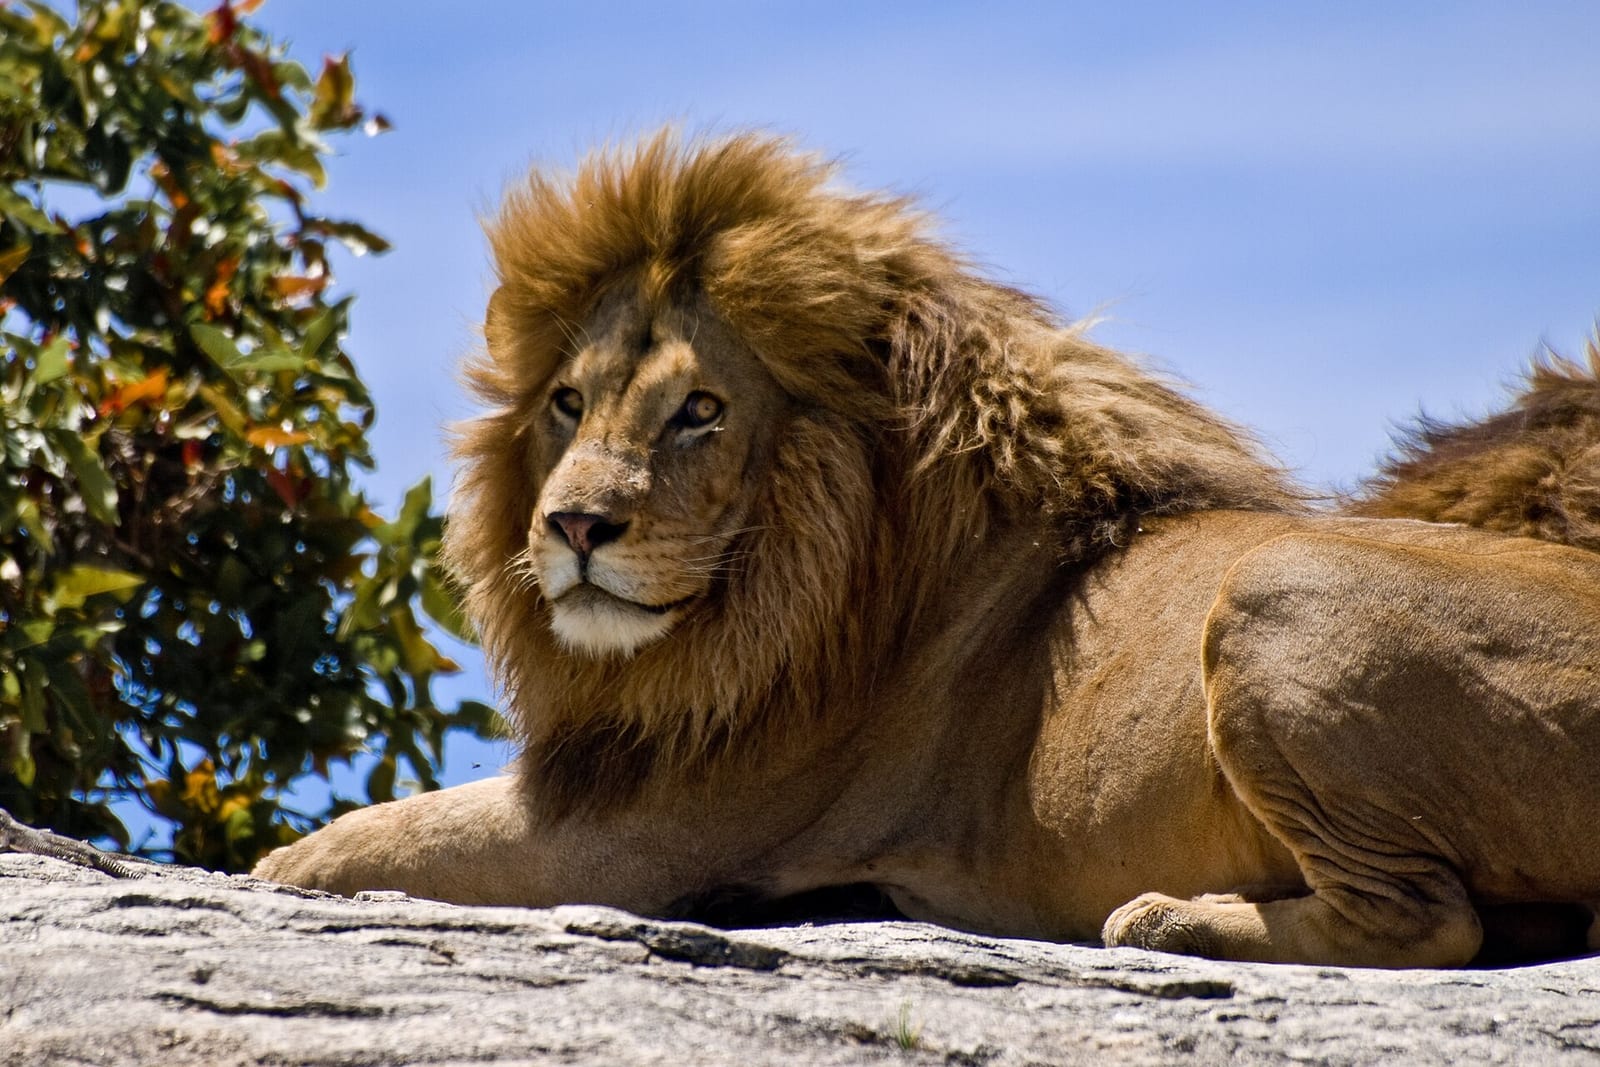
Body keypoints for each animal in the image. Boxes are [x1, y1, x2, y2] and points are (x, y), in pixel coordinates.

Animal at [252, 130, 1600, 968]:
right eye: (569, 405)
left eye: (701, 410)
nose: (575, 525)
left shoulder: (636, 834)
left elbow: (362, 841)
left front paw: (272, 865)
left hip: (1271, 587)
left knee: (1429, 922)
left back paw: (1168, 920)